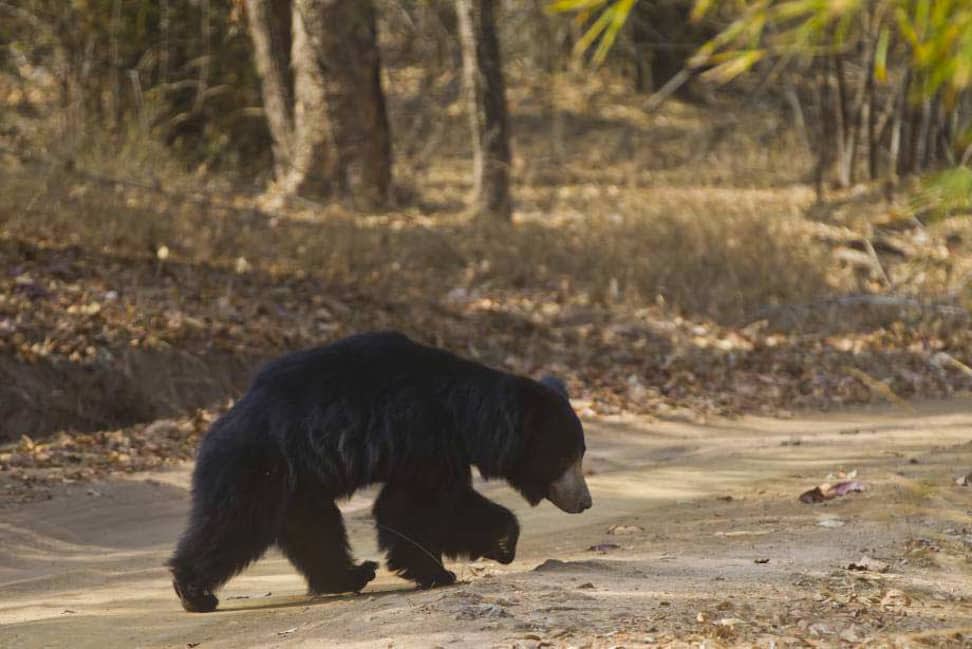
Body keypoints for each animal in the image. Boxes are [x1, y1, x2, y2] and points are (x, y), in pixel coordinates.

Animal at [168, 332, 588, 612]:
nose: (584, 501)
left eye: (579, 455)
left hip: (299, 482)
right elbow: (421, 505)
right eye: (567, 459)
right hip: (260, 466)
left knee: (314, 529)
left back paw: (350, 576)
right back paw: (195, 592)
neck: (464, 417)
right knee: (235, 525)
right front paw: (459, 562)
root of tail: (213, 431)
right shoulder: (421, 436)